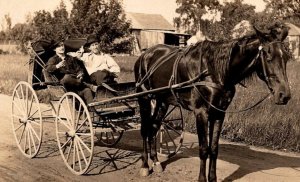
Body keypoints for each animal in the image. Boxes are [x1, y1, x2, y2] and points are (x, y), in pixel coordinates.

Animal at [133, 25, 290, 181]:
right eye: (268, 56)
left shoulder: (219, 112)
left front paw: (212, 178)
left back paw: (156, 161)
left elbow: (213, 149)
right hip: (144, 98)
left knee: (154, 126)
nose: (285, 95)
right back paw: (145, 165)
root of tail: (144, 55)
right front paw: (202, 178)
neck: (214, 71)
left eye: (286, 57)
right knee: (145, 129)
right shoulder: (201, 112)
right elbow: (204, 149)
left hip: (162, 101)